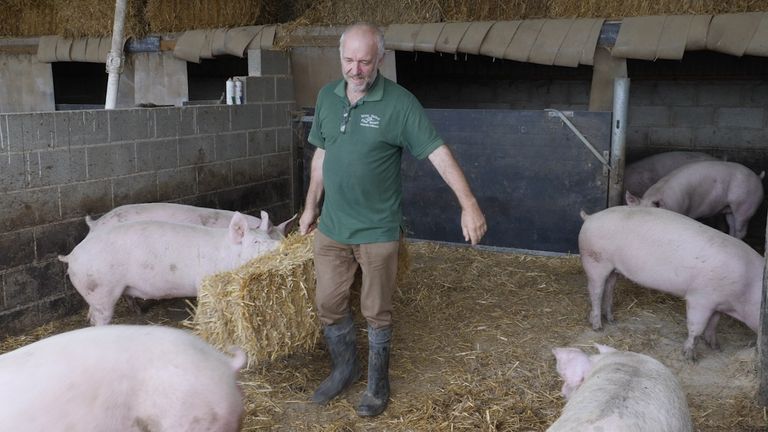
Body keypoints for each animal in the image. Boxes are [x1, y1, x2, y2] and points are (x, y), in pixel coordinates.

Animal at [60, 211, 282, 326]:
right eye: (255, 242)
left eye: (268, 237)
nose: (279, 245)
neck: (225, 253)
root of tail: (72, 256)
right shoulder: (203, 282)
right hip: (100, 289)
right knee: (99, 317)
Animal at [580, 206, 760, 362]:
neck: (746, 292)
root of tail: (590, 217)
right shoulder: (700, 298)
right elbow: (696, 328)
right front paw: (690, 359)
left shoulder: (717, 304)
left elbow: (714, 323)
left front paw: (716, 347)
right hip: (595, 261)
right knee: (595, 292)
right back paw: (598, 327)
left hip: (613, 269)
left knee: (609, 289)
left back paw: (611, 320)